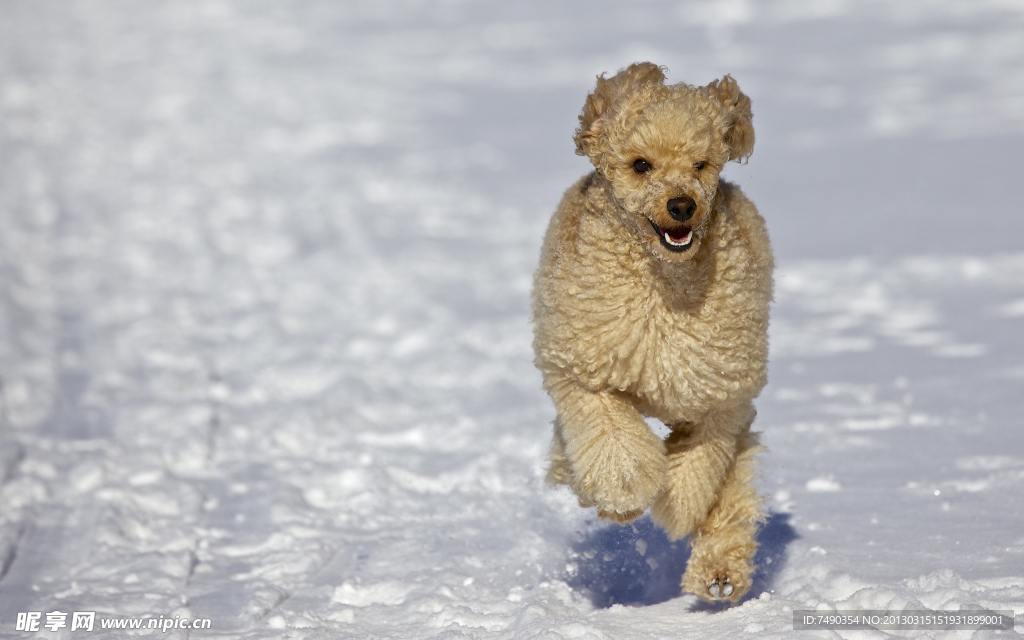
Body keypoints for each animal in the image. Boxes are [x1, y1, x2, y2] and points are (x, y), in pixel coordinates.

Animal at [532, 62, 770, 602]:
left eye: (702, 164)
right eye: (641, 165)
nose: (682, 205)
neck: (662, 284)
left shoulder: (721, 395)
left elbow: (701, 466)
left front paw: (678, 504)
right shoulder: (584, 371)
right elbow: (612, 438)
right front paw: (624, 491)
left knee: (734, 484)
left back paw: (720, 572)